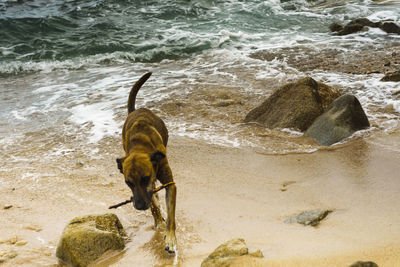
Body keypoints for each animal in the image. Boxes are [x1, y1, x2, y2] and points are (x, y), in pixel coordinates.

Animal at [116, 72, 177, 254]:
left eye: (145, 178)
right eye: (128, 183)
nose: (139, 206)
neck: (140, 146)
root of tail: (137, 110)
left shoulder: (169, 184)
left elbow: (171, 216)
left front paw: (170, 238)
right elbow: (154, 204)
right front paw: (158, 220)